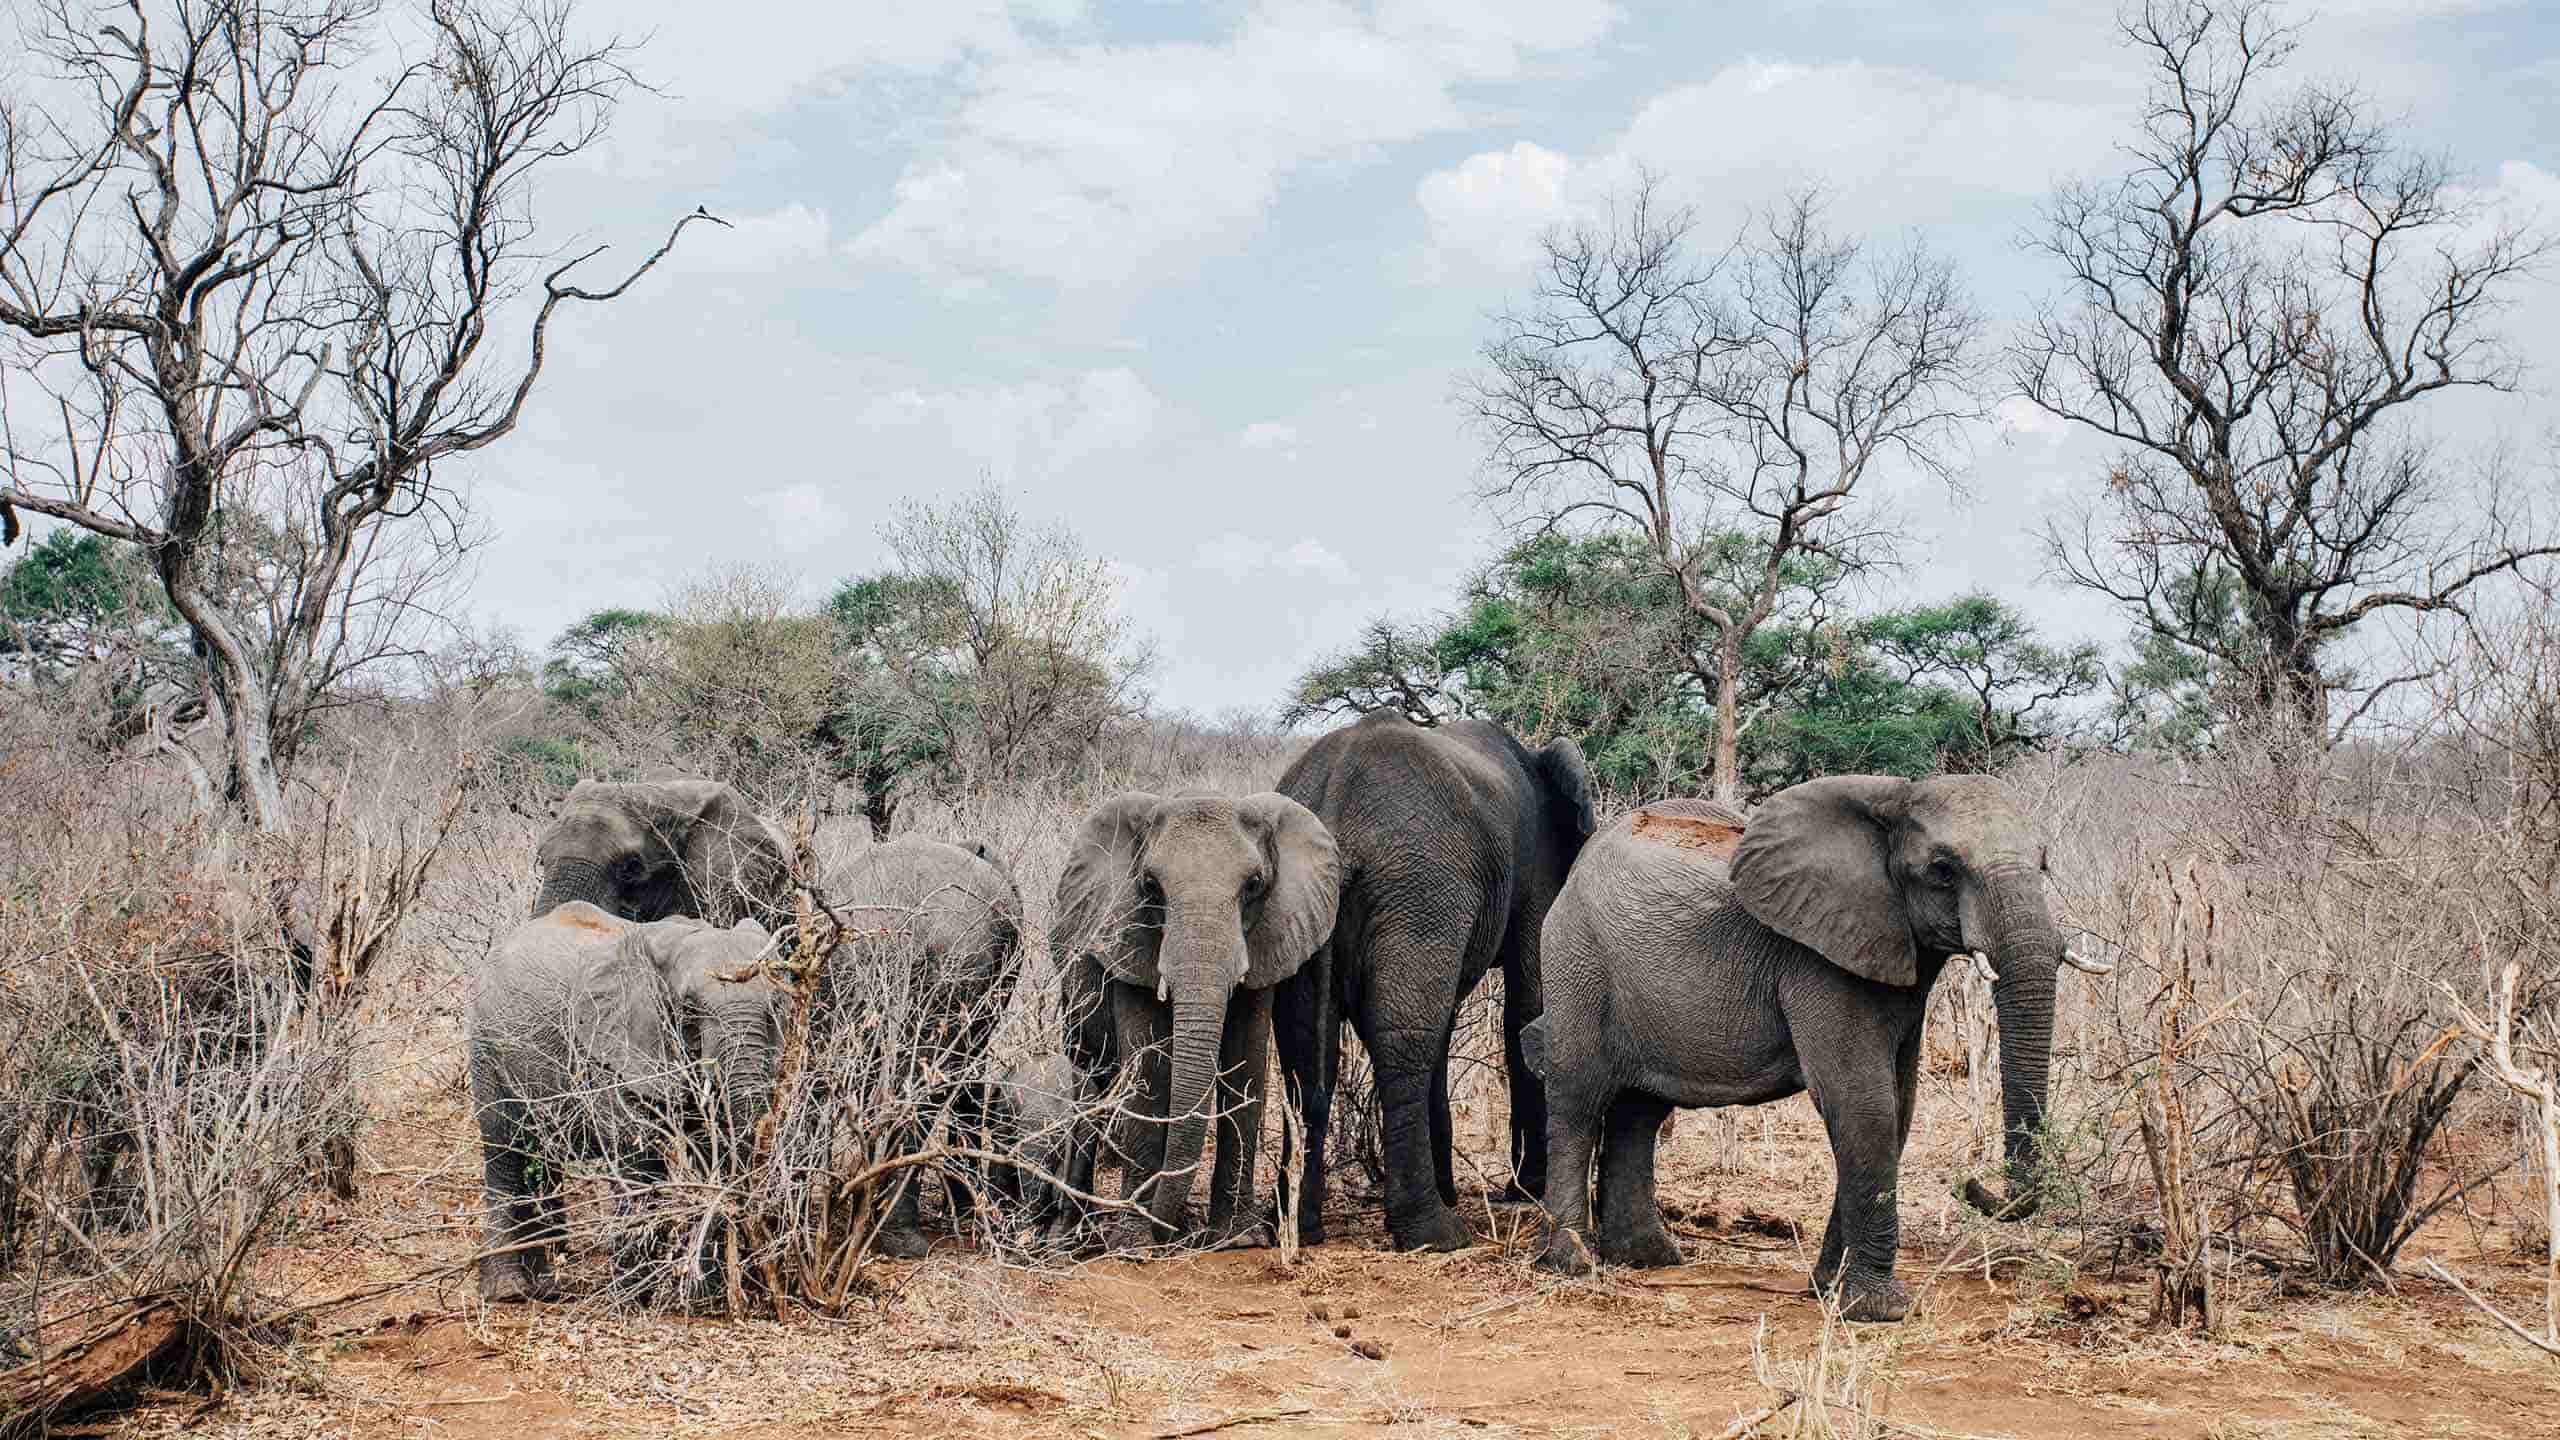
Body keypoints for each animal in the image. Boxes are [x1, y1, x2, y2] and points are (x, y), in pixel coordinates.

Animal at [468, 903, 787, 1302]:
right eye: (688, 1009)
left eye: (775, 1006)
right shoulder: (609, 1048)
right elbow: (634, 1153)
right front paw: (638, 1298)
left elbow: (703, 1148)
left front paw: (701, 1294)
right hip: (487, 1047)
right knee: (505, 1151)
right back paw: (508, 1291)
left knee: (538, 1161)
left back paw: (544, 1287)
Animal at [1052, 792, 1341, 1251]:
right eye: (1151, 886)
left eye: (1254, 884)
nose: (1162, 1228)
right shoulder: (1131, 938)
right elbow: (1151, 1072)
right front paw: (1135, 1245)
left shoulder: (1264, 938)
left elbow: (1245, 1062)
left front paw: (1239, 1240)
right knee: (1089, 1079)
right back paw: (1071, 1239)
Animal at [1272, 712, 1594, 1251]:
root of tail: (1333, 800)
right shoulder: (1537, 865)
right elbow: (1529, 1005)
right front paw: (1526, 1191)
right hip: (1419, 888)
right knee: (1404, 1040)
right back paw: (1434, 1233)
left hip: (1303, 901)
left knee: (1307, 1053)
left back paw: (1299, 1227)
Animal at [1528, 777, 2103, 1322]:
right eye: (1942, 870)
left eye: (2044, 862)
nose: (1970, 1186)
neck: (1892, 803)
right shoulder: (1817, 961)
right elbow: (1864, 1103)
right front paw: (1879, 1311)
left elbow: (1898, 1109)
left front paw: (1826, 1290)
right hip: (1575, 961)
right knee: (1579, 1101)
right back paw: (1573, 1263)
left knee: (1640, 1110)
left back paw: (1648, 1259)